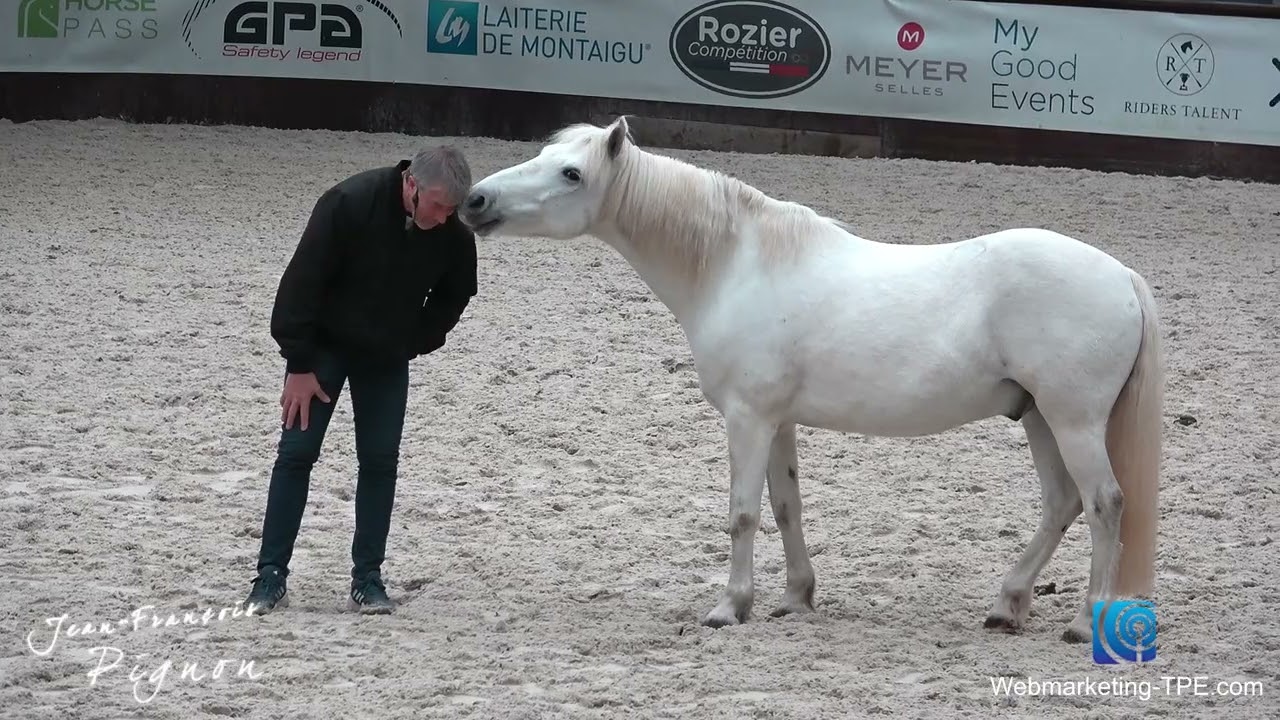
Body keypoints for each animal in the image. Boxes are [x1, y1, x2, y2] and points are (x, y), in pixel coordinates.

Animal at [458, 116, 1163, 644]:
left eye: (571, 173)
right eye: (543, 154)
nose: (475, 201)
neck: (735, 265)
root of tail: (1122, 275)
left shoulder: (747, 418)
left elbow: (742, 513)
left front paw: (729, 607)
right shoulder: (779, 420)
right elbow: (785, 507)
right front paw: (796, 598)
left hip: (1073, 421)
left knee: (1105, 504)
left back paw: (1085, 623)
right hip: (1039, 416)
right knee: (1062, 504)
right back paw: (1007, 604)